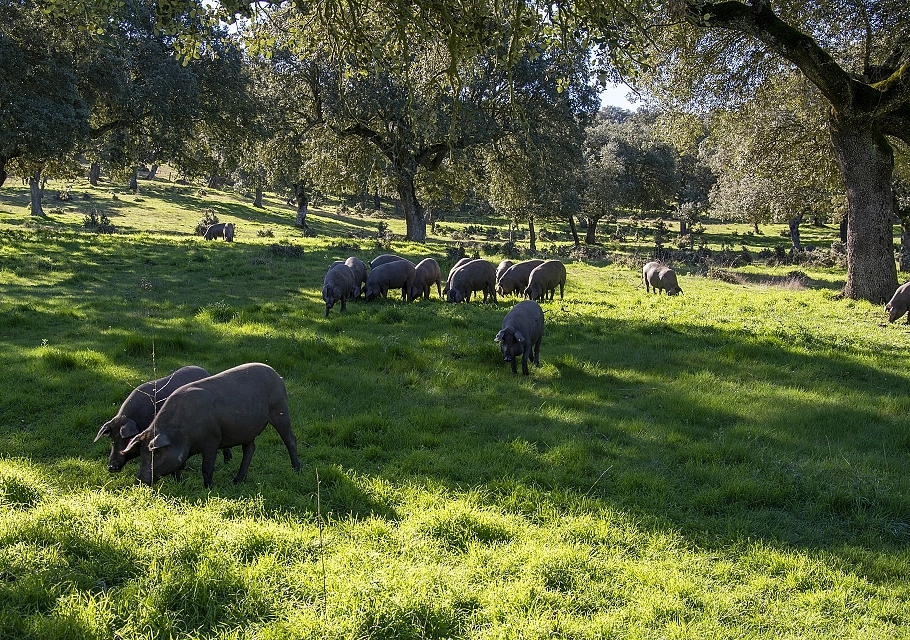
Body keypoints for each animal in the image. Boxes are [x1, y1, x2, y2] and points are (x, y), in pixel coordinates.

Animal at [123, 362, 302, 488]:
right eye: (142, 454)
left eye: (155, 454)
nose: (138, 481)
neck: (182, 433)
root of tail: (277, 375)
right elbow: (178, 467)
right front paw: (180, 483)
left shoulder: (213, 440)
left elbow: (207, 467)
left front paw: (208, 488)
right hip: (248, 428)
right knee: (250, 449)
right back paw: (237, 481)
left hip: (280, 409)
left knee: (290, 439)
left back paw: (297, 470)